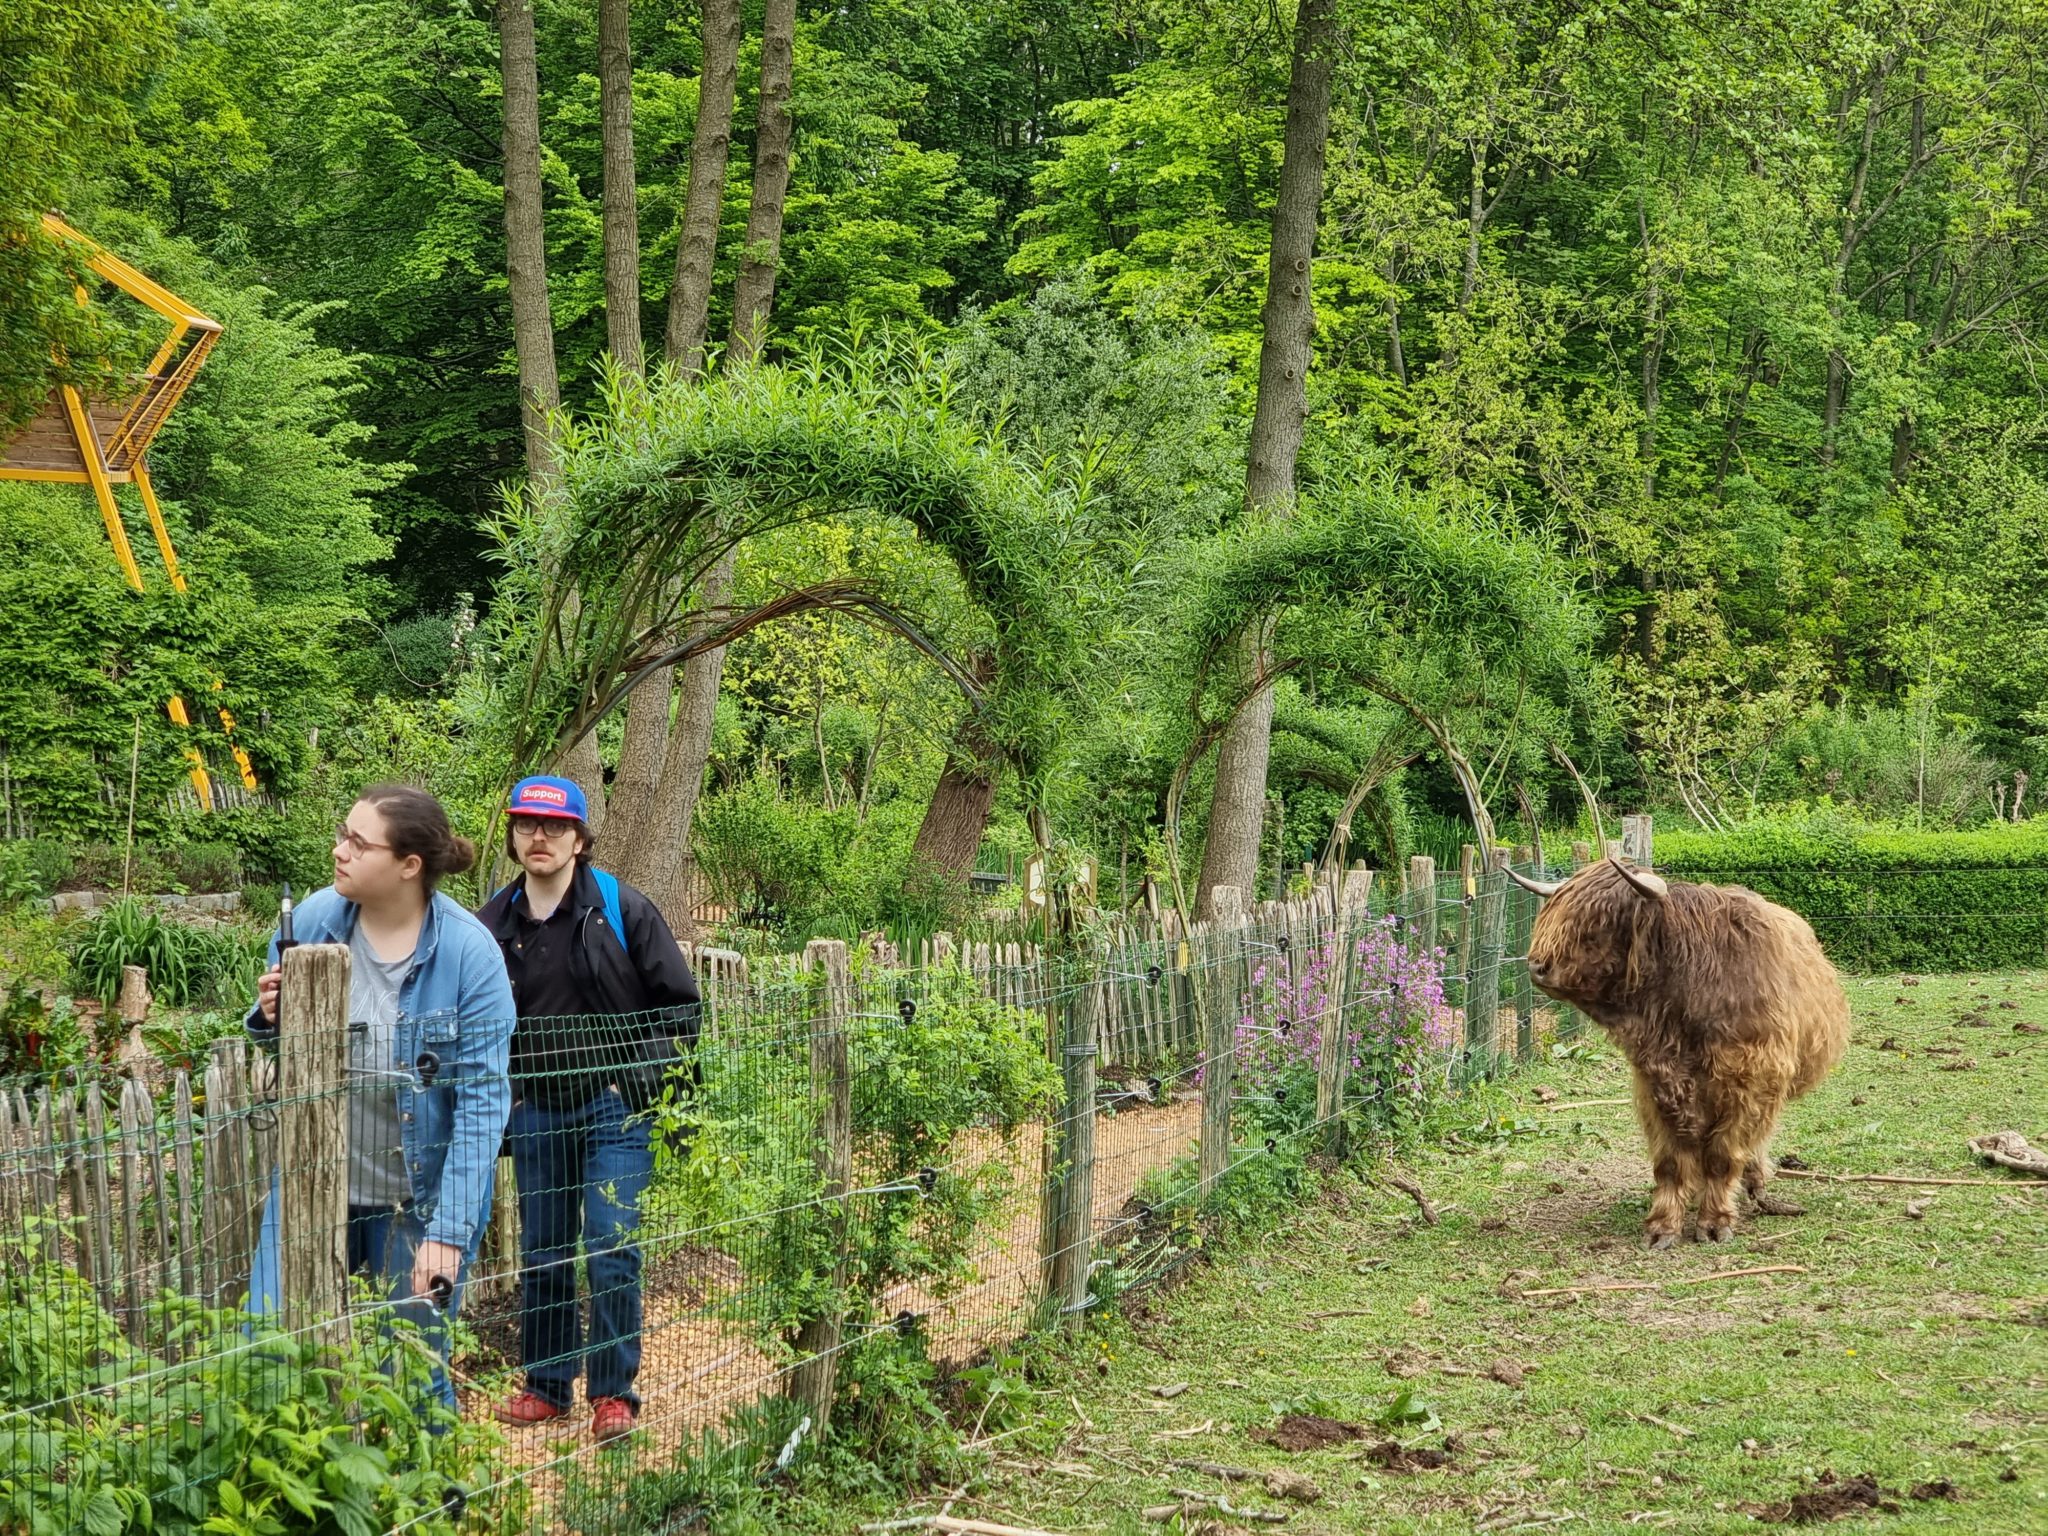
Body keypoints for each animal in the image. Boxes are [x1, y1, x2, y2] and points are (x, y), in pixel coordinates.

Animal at [1507, 868, 1859, 1253]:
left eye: (1597, 923)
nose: (1537, 966)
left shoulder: (1751, 1082)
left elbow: (1723, 1155)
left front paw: (1715, 1222)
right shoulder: (1654, 1085)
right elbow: (1671, 1163)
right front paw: (1662, 1227)